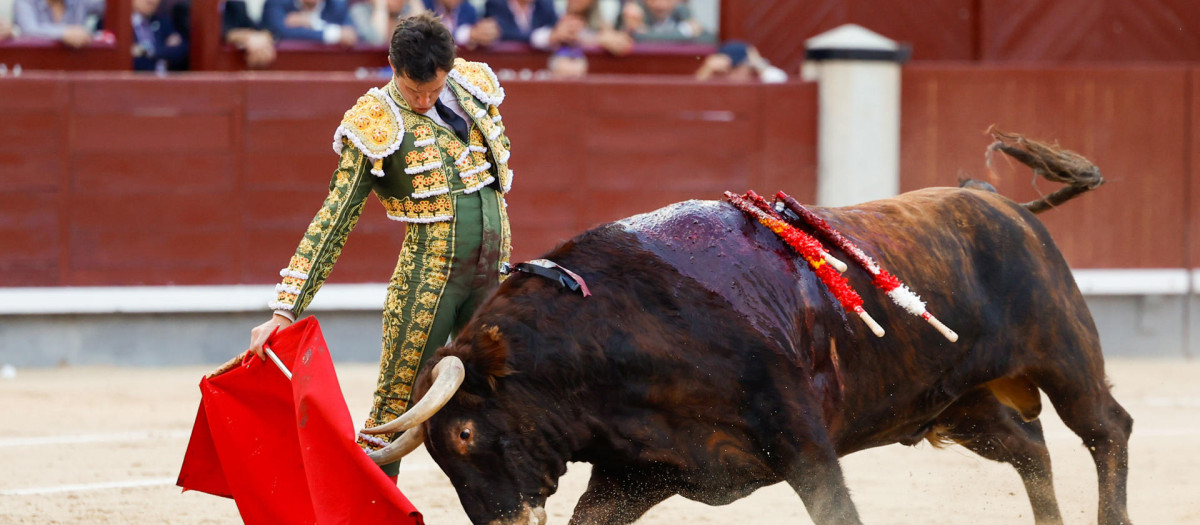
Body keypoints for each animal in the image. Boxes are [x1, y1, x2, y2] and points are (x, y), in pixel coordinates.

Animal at [360, 131, 1128, 525]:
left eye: (464, 433)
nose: (499, 522)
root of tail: (995, 200)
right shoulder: (639, 473)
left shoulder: (803, 444)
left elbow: (834, 509)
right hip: (956, 404)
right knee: (1030, 447)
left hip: (1064, 356)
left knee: (1104, 429)